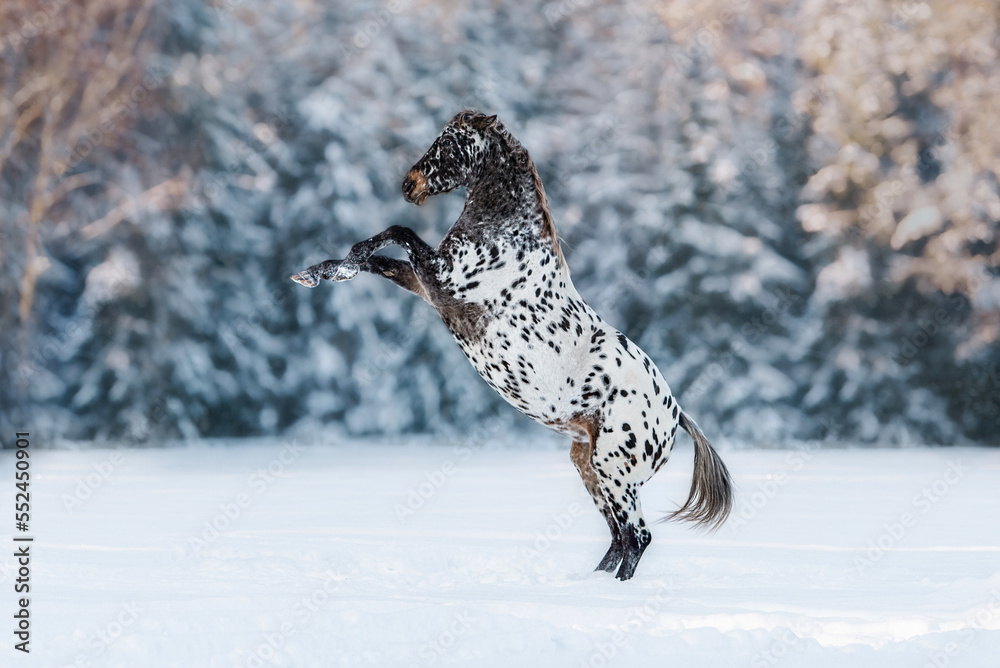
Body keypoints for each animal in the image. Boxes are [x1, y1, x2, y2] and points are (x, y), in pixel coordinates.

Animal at [291, 110, 733, 580]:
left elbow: (397, 231)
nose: (409, 185)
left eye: (451, 142)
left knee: (637, 538)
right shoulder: (427, 285)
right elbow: (379, 259)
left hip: (615, 471)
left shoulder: (442, 279)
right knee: (618, 538)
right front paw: (319, 273)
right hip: (588, 466)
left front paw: (338, 265)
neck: (507, 235)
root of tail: (677, 414)